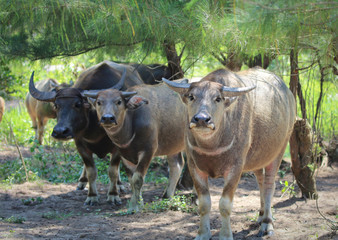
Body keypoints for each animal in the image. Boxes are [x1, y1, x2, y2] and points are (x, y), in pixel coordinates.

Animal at [29, 61, 144, 205]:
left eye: (78, 104)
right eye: (56, 105)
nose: (60, 132)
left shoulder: (118, 147)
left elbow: (112, 171)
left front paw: (113, 194)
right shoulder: (80, 145)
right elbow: (91, 171)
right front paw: (92, 195)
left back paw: (119, 184)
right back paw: (82, 182)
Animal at [83, 81, 186, 212]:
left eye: (119, 101)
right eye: (99, 102)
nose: (107, 118)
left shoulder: (148, 151)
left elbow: (138, 178)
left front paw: (134, 206)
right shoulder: (124, 155)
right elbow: (132, 180)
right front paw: (139, 202)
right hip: (173, 146)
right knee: (176, 165)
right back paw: (167, 196)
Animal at [164, 66, 296, 239]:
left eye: (218, 99)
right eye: (192, 97)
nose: (201, 119)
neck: (211, 147)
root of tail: (289, 95)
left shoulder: (235, 168)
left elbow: (225, 205)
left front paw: (225, 234)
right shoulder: (194, 167)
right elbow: (204, 203)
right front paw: (202, 233)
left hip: (279, 151)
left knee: (269, 185)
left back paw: (267, 223)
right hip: (257, 158)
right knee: (260, 181)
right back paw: (260, 216)